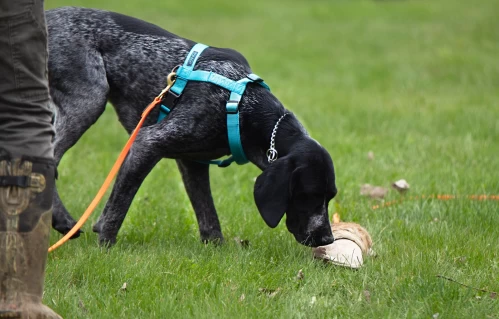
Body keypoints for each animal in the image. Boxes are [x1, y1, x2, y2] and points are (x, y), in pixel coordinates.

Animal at [47, 6, 338, 248]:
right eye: (308, 194)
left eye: (330, 196)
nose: (327, 239)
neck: (241, 106)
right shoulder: (148, 143)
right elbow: (118, 206)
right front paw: (105, 246)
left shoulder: (193, 161)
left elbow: (207, 214)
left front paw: (217, 249)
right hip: (90, 100)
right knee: (49, 160)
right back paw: (62, 221)